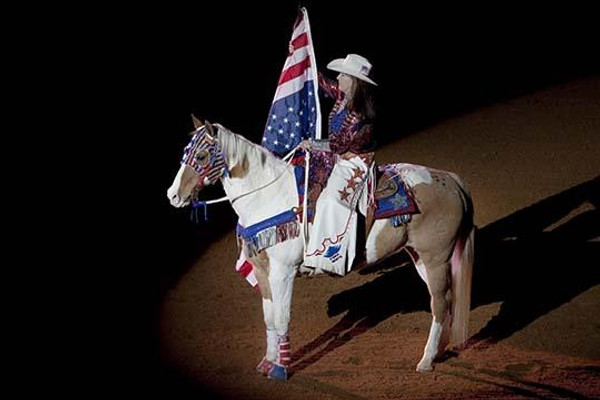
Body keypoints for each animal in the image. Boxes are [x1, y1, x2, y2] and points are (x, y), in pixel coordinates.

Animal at [168, 117, 474, 380]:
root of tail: (451, 179)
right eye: (185, 152)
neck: (270, 197)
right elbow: (269, 318)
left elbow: (282, 318)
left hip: (435, 258)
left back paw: (426, 360)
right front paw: (267, 363)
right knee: (445, 300)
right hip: (420, 257)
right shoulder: (263, 271)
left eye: (201, 156)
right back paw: (439, 350)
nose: (173, 195)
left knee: (439, 303)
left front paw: (281, 369)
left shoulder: (283, 273)